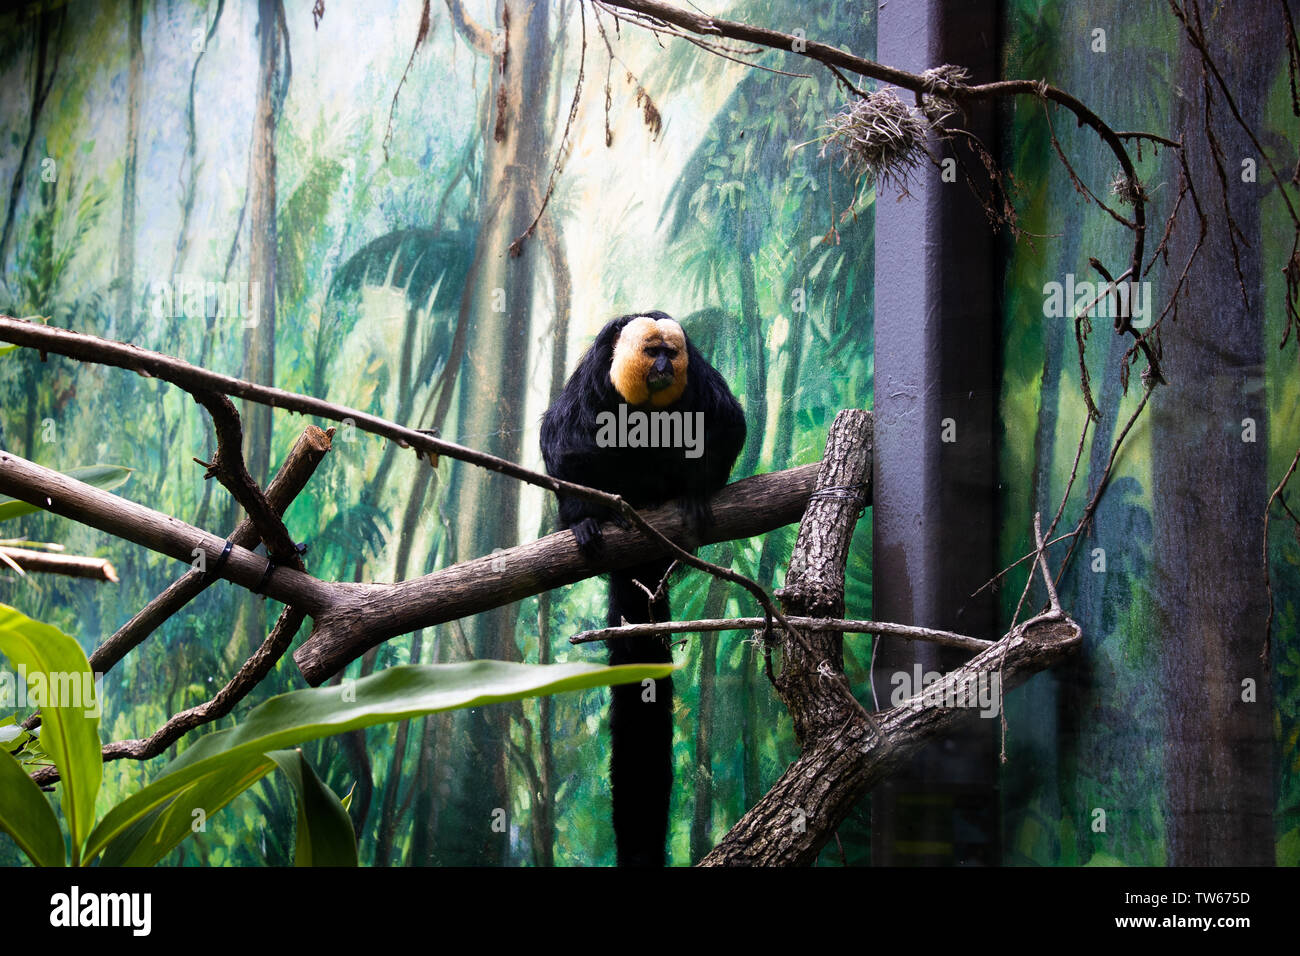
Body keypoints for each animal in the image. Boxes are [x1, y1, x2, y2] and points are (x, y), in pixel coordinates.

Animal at [540, 311, 746, 866]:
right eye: (651, 350)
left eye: (670, 354)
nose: (660, 367)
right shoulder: (592, 382)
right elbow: (563, 441)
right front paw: (585, 516)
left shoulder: (700, 383)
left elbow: (725, 426)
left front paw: (695, 492)